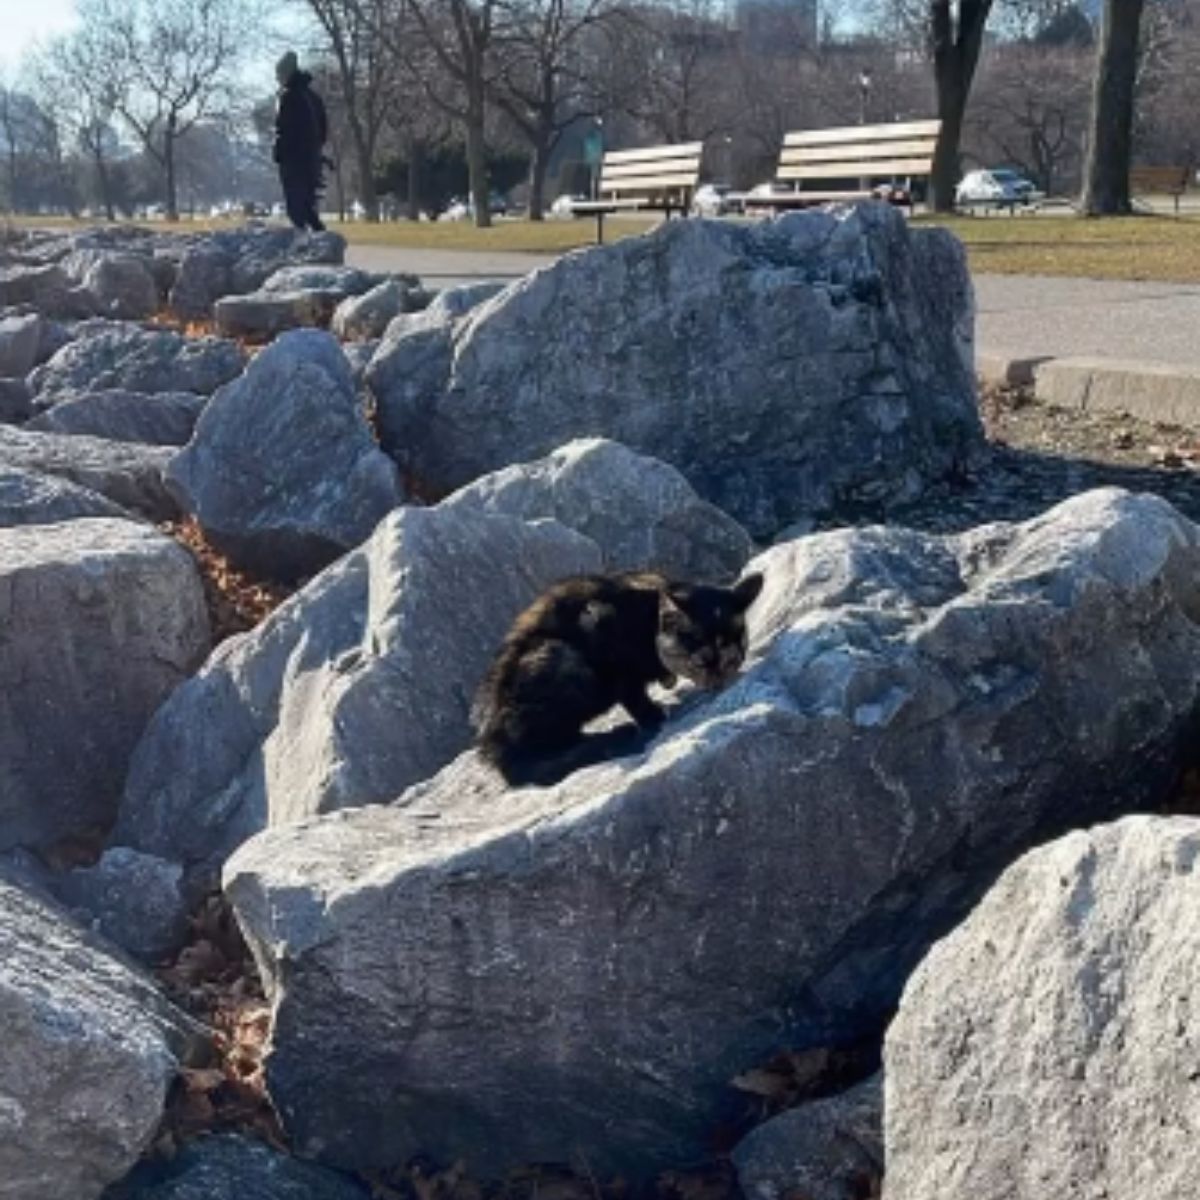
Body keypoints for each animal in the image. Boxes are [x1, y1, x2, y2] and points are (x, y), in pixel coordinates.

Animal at [472, 568, 763, 787]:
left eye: (732, 660)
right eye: (700, 662)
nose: (719, 684)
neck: (649, 619)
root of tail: (493, 746)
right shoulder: (604, 633)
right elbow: (633, 694)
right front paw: (654, 716)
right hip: (560, 656)